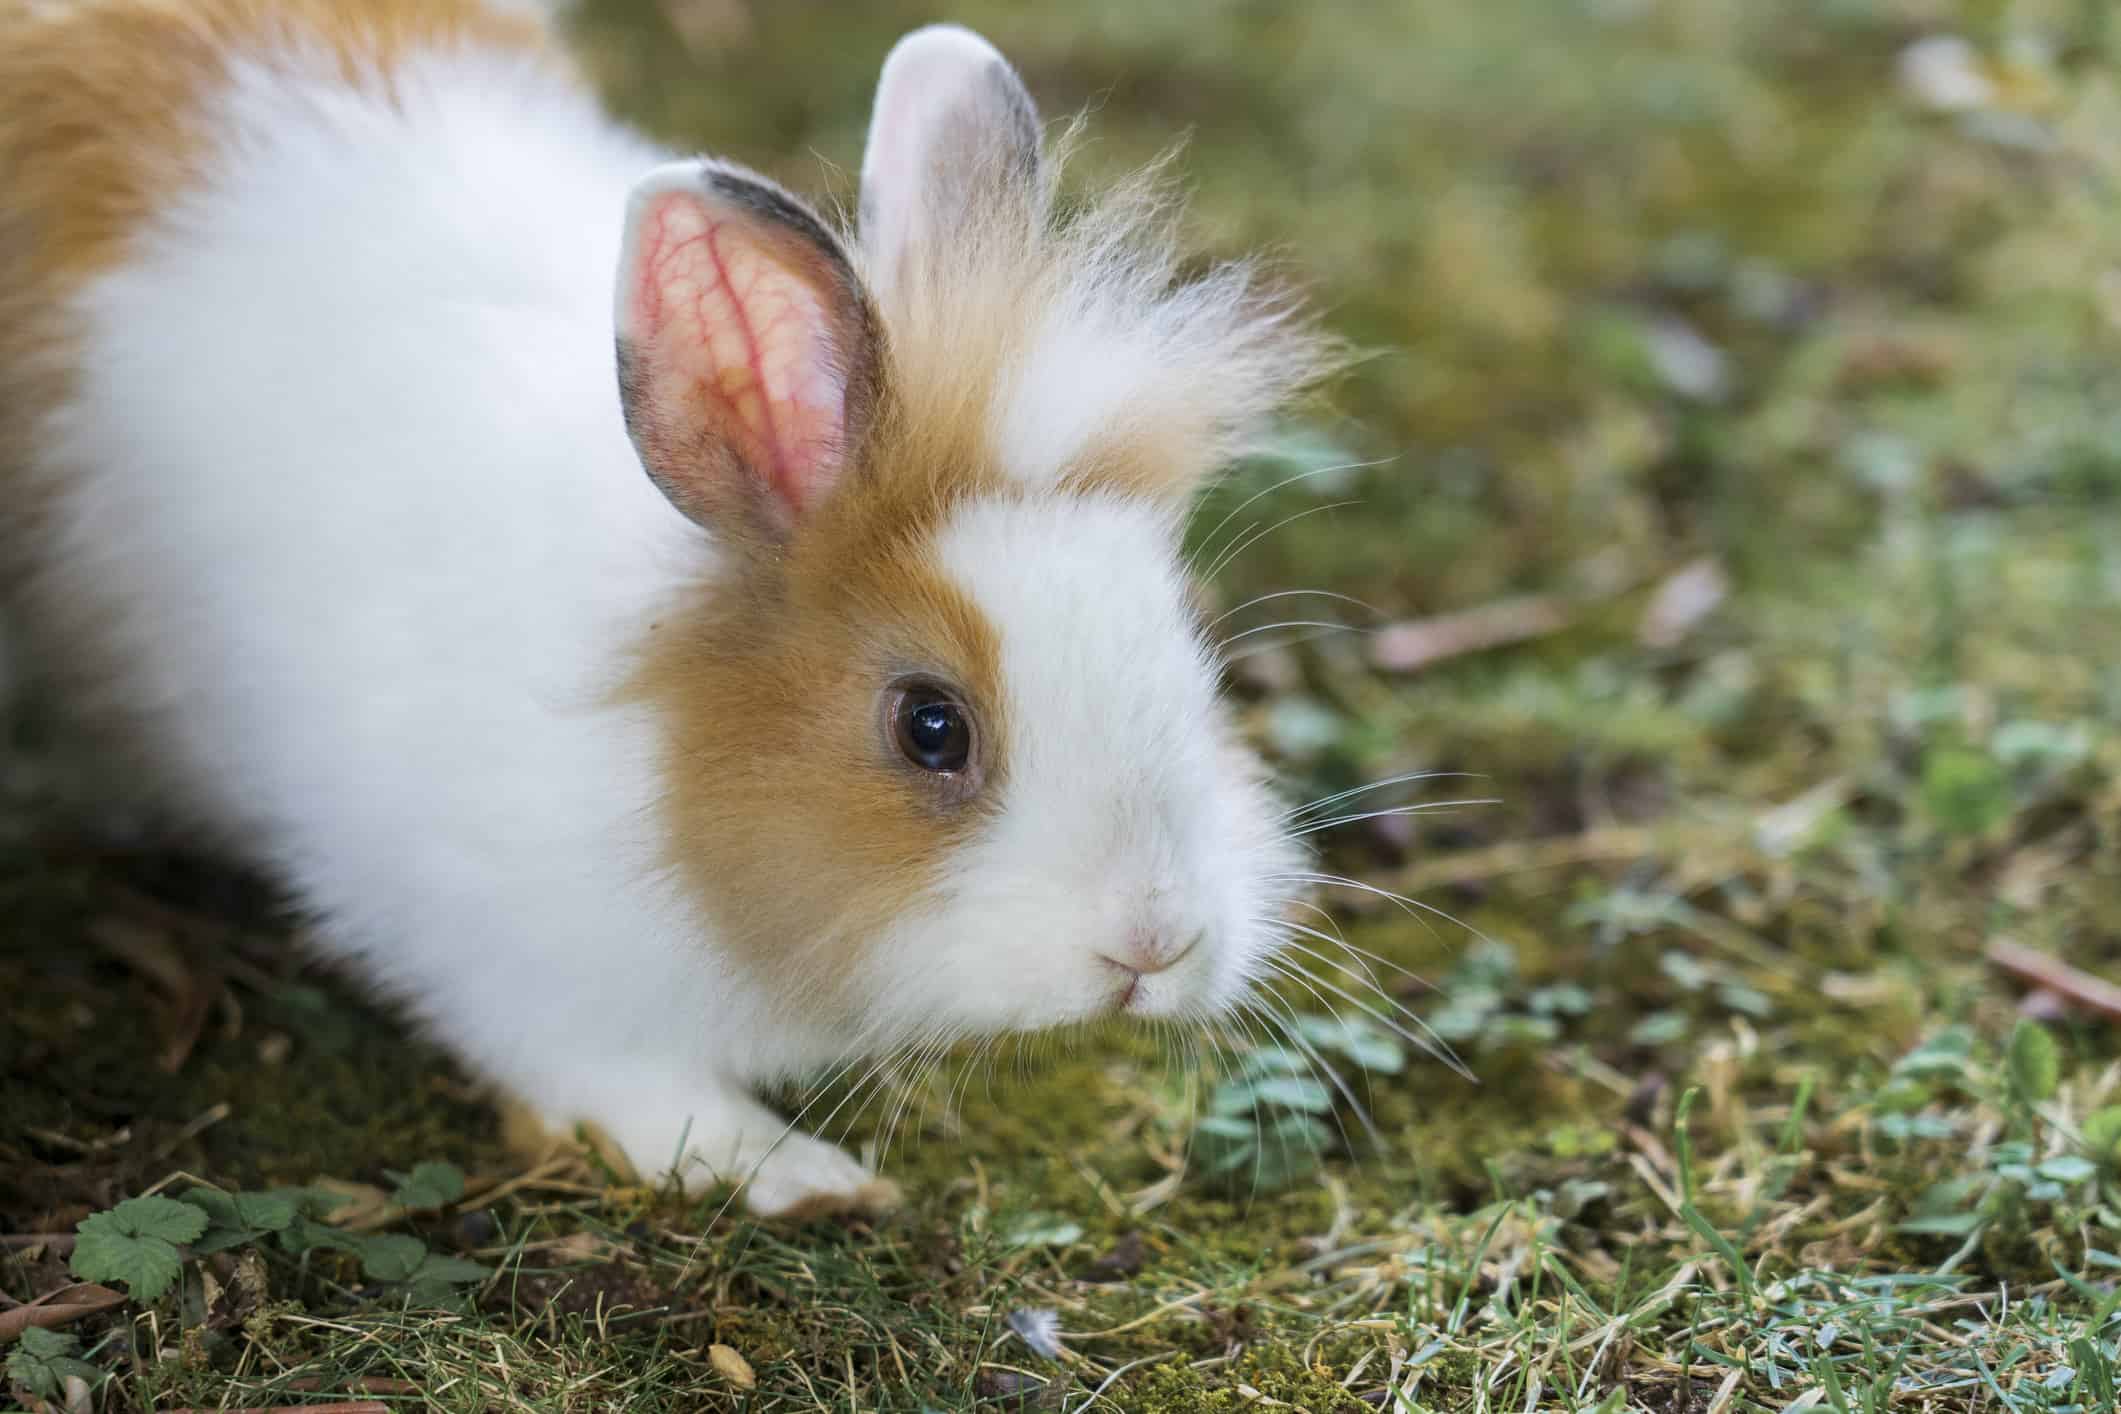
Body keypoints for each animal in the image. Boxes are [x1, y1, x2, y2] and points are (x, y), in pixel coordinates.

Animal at [0, 0, 1330, 1216]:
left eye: (1194, 653)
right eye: (931, 727)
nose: (1155, 944)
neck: (660, 738)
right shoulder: (502, 956)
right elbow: (622, 1084)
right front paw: (797, 1174)